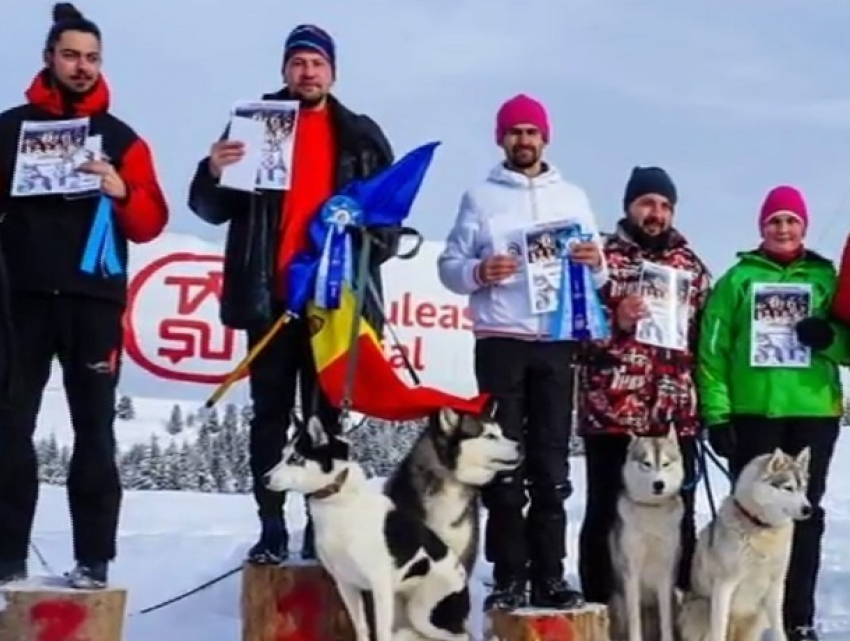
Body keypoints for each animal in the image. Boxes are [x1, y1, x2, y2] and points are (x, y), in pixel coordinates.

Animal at [264, 416, 470, 640]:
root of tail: (462, 577)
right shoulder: (346, 584)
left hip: (424, 613)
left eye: (295, 458)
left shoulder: (379, 586)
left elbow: (380, 632)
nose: (264, 478)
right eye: (283, 455)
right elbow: (361, 627)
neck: (338, 504)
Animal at [608, 424, 684, 640]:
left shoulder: (666, 571)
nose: (659, 484)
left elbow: (665, 618)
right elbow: (635, 617)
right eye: (646, 464)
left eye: (665, 464)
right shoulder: (631, 571)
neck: (651, 509)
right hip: (618, 601)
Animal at [676, 444, 808, 640]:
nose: (808, 509)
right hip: (702, 607)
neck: (760, 526)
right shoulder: (724, 584)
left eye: (804, 488)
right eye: (788, 488)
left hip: (758, 616)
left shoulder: (776, 586)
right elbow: (719, 629)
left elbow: (779, 629)